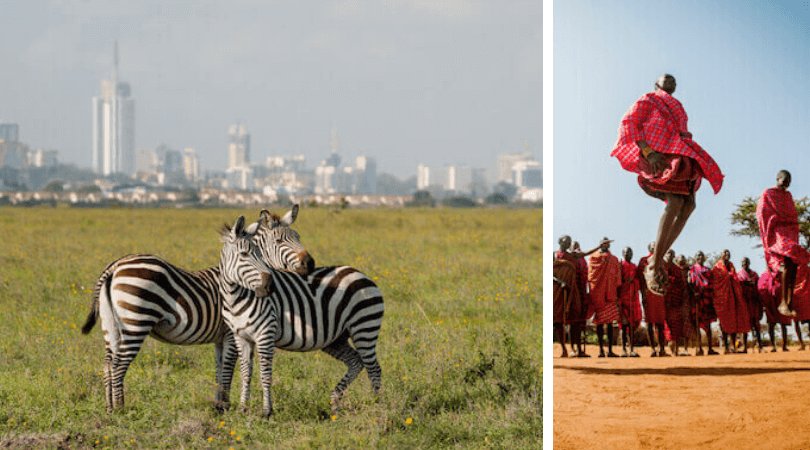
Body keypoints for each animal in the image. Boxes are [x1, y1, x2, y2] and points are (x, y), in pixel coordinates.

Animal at [80, 207, 312, 412]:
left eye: (298, 236)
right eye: (280, 241)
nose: (309, 263)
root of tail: (115, 266)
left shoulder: (220, 338)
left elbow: (220, 369)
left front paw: (218, 405)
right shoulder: (230, 333)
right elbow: (228, 369)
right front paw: (225, 406)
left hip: (111, 326)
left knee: (108, 364)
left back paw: (109, 407)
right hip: (136, 322)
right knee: (119, 365)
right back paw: (121, 409)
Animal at [223, 245, 384, 417]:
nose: (267, 287)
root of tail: (361, 274)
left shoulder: (261, 333)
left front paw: (263, 411)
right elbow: (242, 370)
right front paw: (239, 409)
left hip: (364, 325)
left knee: (374, 368)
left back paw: (376, 406)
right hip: (336, 339)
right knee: (356, 361)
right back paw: (335, 402)